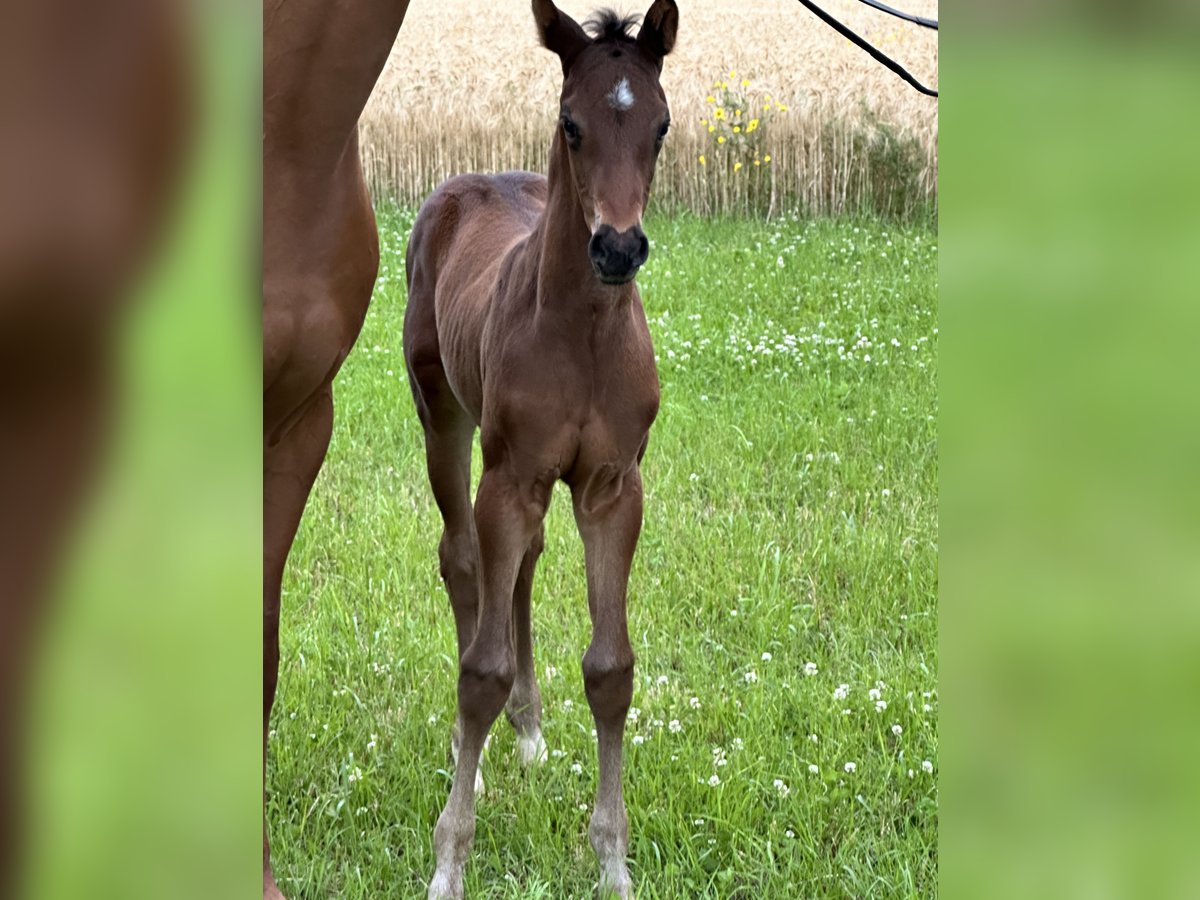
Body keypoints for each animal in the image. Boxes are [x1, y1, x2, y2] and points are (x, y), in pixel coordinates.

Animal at [403, 3, 681, 897]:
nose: (617, 249)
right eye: (571, 125)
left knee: (522, 566)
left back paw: (524, 732)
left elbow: (611, 668)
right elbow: (480, 668)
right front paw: (449, 860)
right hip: (445, 419)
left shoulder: (610, 486)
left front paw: (614, 861)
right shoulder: (510, 477)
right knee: (463, 560)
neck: (583, 332)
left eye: (661, 125)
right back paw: (478, 748)